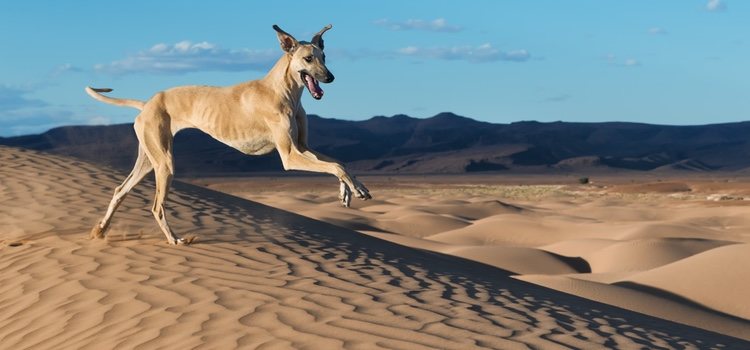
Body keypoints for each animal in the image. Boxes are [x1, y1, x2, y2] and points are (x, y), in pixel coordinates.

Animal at [86, 24, 374, 245]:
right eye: (308, 59)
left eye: (324, 56)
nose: (330, 77)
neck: (282, 90)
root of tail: (147, 103)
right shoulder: (290, 156)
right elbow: (335, 166)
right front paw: (351, 189)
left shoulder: (302, 147)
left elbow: (339, 163)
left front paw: (353, 190)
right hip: (164, 163)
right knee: (156, 206)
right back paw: (175, 240)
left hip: (149, 159)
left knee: (120, 190)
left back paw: (100, 230)